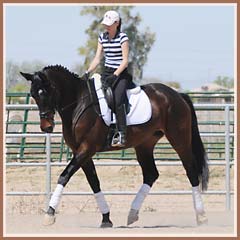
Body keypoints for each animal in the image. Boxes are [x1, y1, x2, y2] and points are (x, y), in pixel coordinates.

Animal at [20, 65, 208, 227]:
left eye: (45, 92)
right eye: (33, 94)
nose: (46, 127)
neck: (78, 103)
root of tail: (177, 95)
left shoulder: (86, 149)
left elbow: (64, 176)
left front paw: (49, 214)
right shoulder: (82, 152)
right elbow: (94, 182)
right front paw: (106, 219)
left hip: (179, 139)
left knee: (191, 170)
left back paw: (201, 215)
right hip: (144, 145)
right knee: (151, 174)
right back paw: (132, 214)